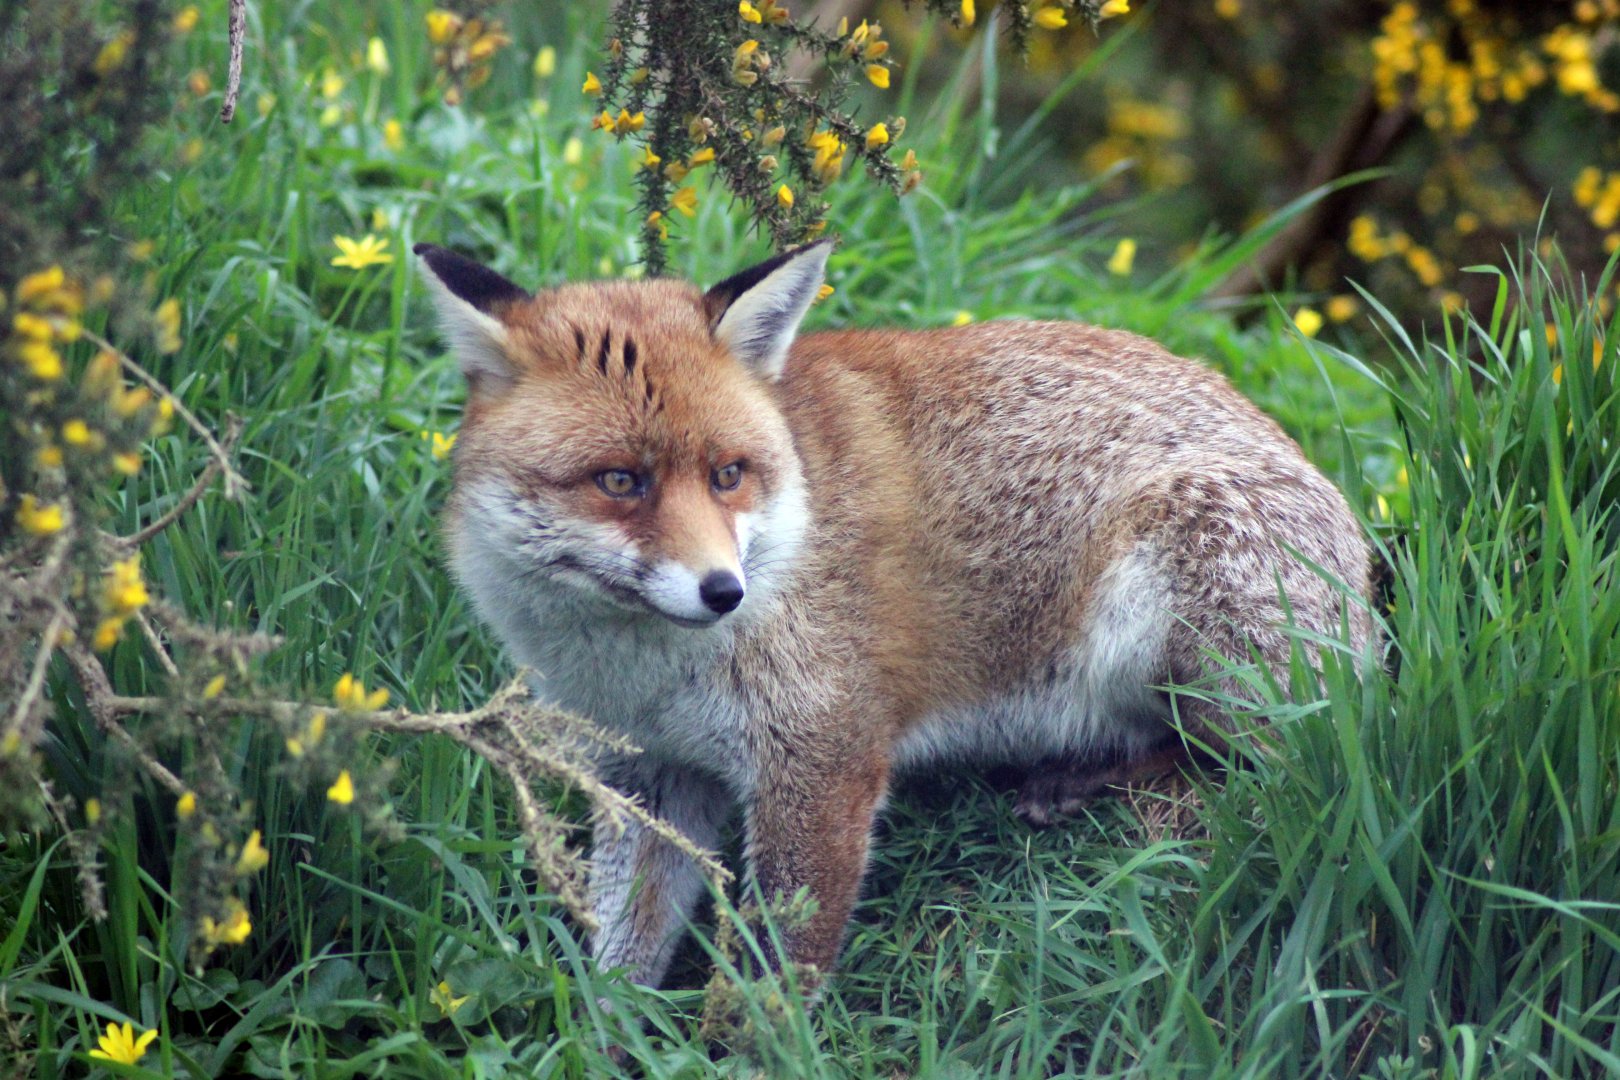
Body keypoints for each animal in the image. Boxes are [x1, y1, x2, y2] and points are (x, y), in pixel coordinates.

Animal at [414, 238, 1374, 989]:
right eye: (620, 480)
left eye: (728, 474)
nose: (724, 590)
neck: (643, 677)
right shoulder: (652, 774)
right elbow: (620, 964)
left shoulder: (826, 758)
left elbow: (771, 984)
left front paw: (743, 1054)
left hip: (1193, 627)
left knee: (1290, 773)